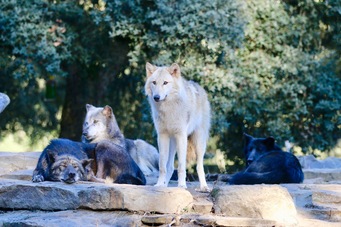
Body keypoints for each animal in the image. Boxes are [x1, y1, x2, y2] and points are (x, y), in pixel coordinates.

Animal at [144, 62, 210, 192]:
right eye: (154, 82)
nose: (156, 97)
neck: (168, 109)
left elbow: (181, 166)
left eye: (165, 82)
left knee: (199, 166)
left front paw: (182, 185)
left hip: (198, 142)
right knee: (169, 166)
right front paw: (159, 185)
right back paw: (164, 185)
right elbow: (162, 166)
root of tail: (198, 86)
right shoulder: (162, 136)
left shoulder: (181, 136)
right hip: (172, 142)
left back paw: (204, 186)